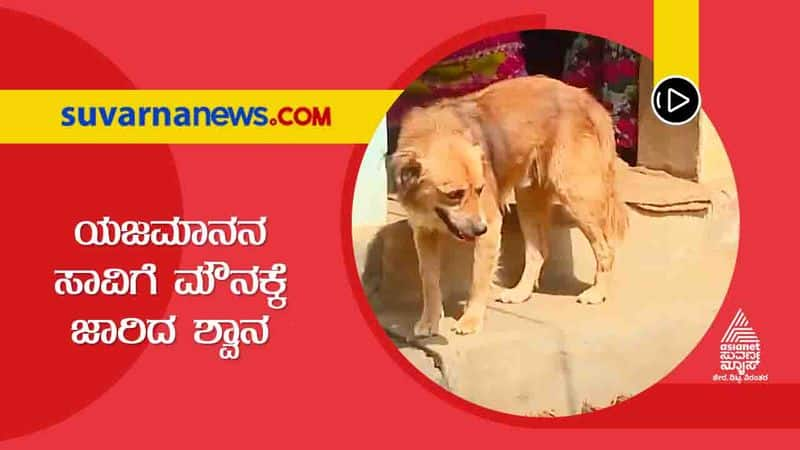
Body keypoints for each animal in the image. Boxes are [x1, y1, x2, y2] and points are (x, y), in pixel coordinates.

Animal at [390, 75, 628, 336]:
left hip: (576, 194)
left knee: (606, 247)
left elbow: (478, 279)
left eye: (480, 189)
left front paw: (471, 320)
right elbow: (429, 279)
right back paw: (521, 293)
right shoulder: (424, 232)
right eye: (454, 194)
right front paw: (430, 320)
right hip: (528, 199)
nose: (479, 229)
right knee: (538, 252)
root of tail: (583, 96)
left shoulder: (492, 226)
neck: (436, 130)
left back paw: (597, 292)